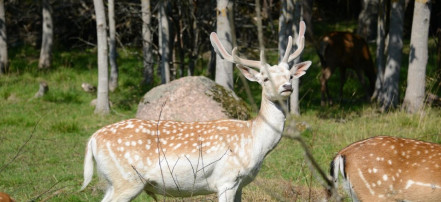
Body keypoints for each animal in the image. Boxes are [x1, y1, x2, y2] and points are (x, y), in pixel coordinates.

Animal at [81, 21, 312, 201]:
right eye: (265, 78)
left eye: (290, 76)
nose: (287, 87)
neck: (255, 142)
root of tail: (92, 139)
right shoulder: (226, 180)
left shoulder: (240, 184)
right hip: (127, 180)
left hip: (114, 181)